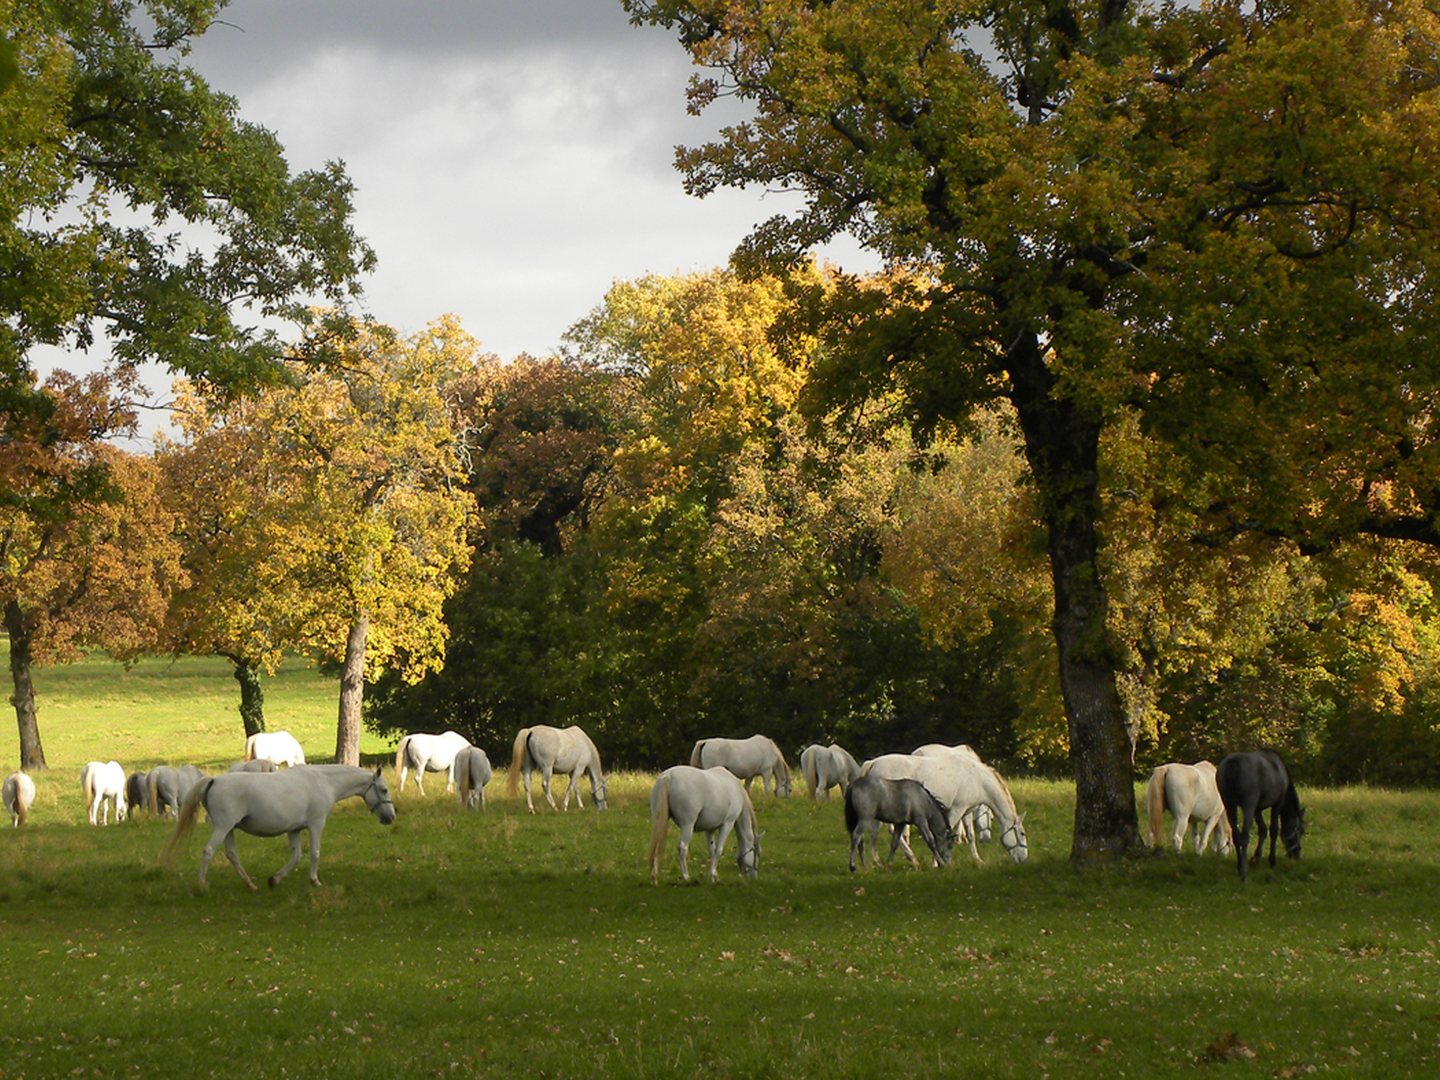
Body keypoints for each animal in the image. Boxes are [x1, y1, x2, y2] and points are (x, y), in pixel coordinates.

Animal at [161, 765, 396, 890]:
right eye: (384, 790)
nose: (390, 817)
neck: (324, 782)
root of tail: (214, 781)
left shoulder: (294, 830)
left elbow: (296, 856)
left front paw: (275, 879)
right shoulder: (316, 824)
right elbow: (314, 853)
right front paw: (315, 881)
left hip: (229, 830)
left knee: (232, 855)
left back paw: (250, 884)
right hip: (223, 827)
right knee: (208, 851)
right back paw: (202, 885)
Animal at [859, 753, 1028, 865]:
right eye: (1022, 833)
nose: (1023, 859)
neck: (977, 778)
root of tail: (873, 763)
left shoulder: (966, 811)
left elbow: (970, 835)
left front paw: (977, 860)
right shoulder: (956, 809)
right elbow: (942, 834)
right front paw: (938, 862)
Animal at [1216, 750, 1305, 882]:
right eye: (1301, 831)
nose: (1296, 854)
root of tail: (1233, 763)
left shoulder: (1257, 809)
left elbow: (1262, 830)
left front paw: (1256, 857)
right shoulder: (1277, 804)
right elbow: (1273, 830)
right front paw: (1272, 861)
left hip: (1229, 805)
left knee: (1236, 835)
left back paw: (1239, 866)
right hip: (1248, 805)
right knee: (1244, 837)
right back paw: (1243, 872)